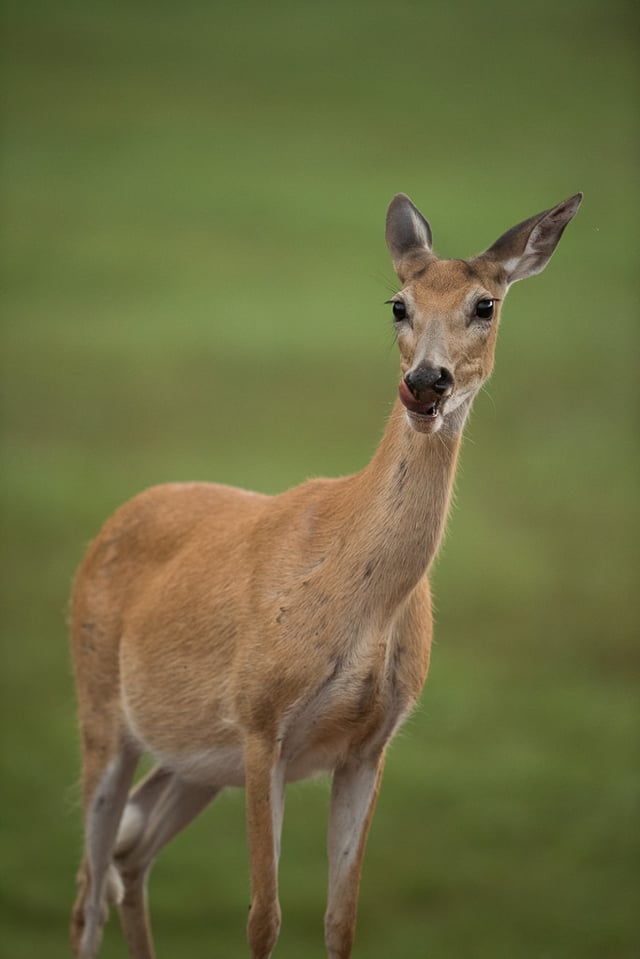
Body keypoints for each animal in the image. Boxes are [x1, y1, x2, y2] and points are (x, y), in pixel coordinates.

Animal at [69, 189, 580, 959]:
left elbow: (341, 919)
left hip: (195, 757)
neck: (360, 597)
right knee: (89, 889)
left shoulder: (370, 744)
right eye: (398, 304)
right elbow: (263, 916)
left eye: (486, 304)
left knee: (131, 853)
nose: (425, 383)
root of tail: (108, 526)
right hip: (102, 708)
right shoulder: (261, 721)